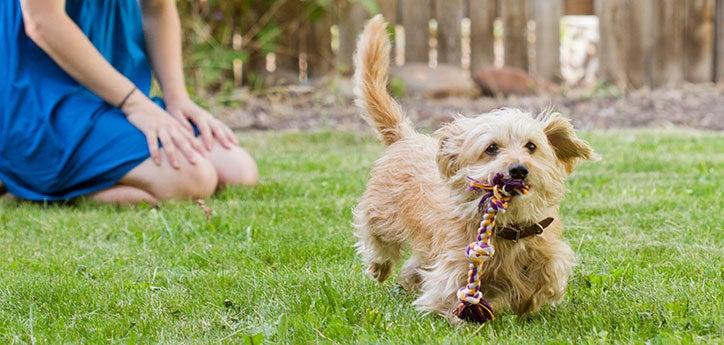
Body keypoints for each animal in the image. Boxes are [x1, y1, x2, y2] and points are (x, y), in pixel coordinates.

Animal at [350, 15, 592, 322]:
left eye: (531, 146)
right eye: (491, 149)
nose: (518, 170)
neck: (509, 226)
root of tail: (407, 137)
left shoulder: (546, 254)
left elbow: (544, 280)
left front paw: (526, 303)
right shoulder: (453, 265)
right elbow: (448, 295)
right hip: (381, 213)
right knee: (374, 235)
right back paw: (379, 265)